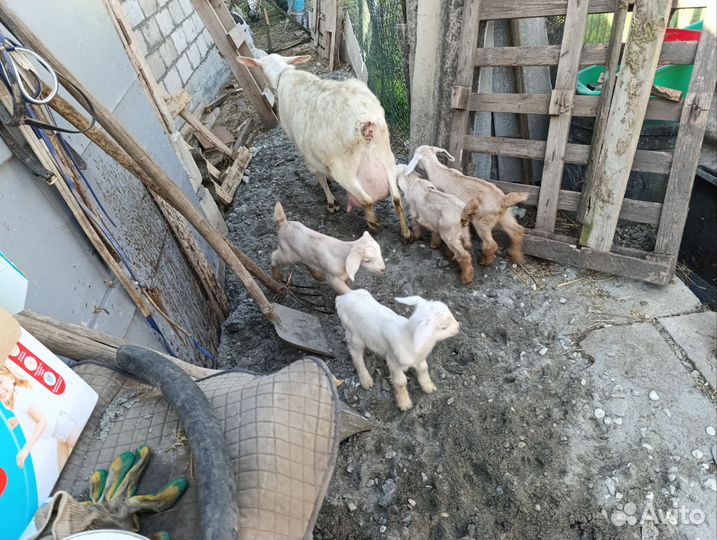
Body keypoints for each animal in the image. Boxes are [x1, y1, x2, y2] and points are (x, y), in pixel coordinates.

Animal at [237, 54, 412, 242]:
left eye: (260, 70)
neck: (285, 75)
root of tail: (364, 122)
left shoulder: (308, 155)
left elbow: (321, 178)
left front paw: (331, 202)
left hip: (343, 169)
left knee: (367, 199)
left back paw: (373, 223)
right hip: (386, 155)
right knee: (396, 198)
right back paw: (406, 233)